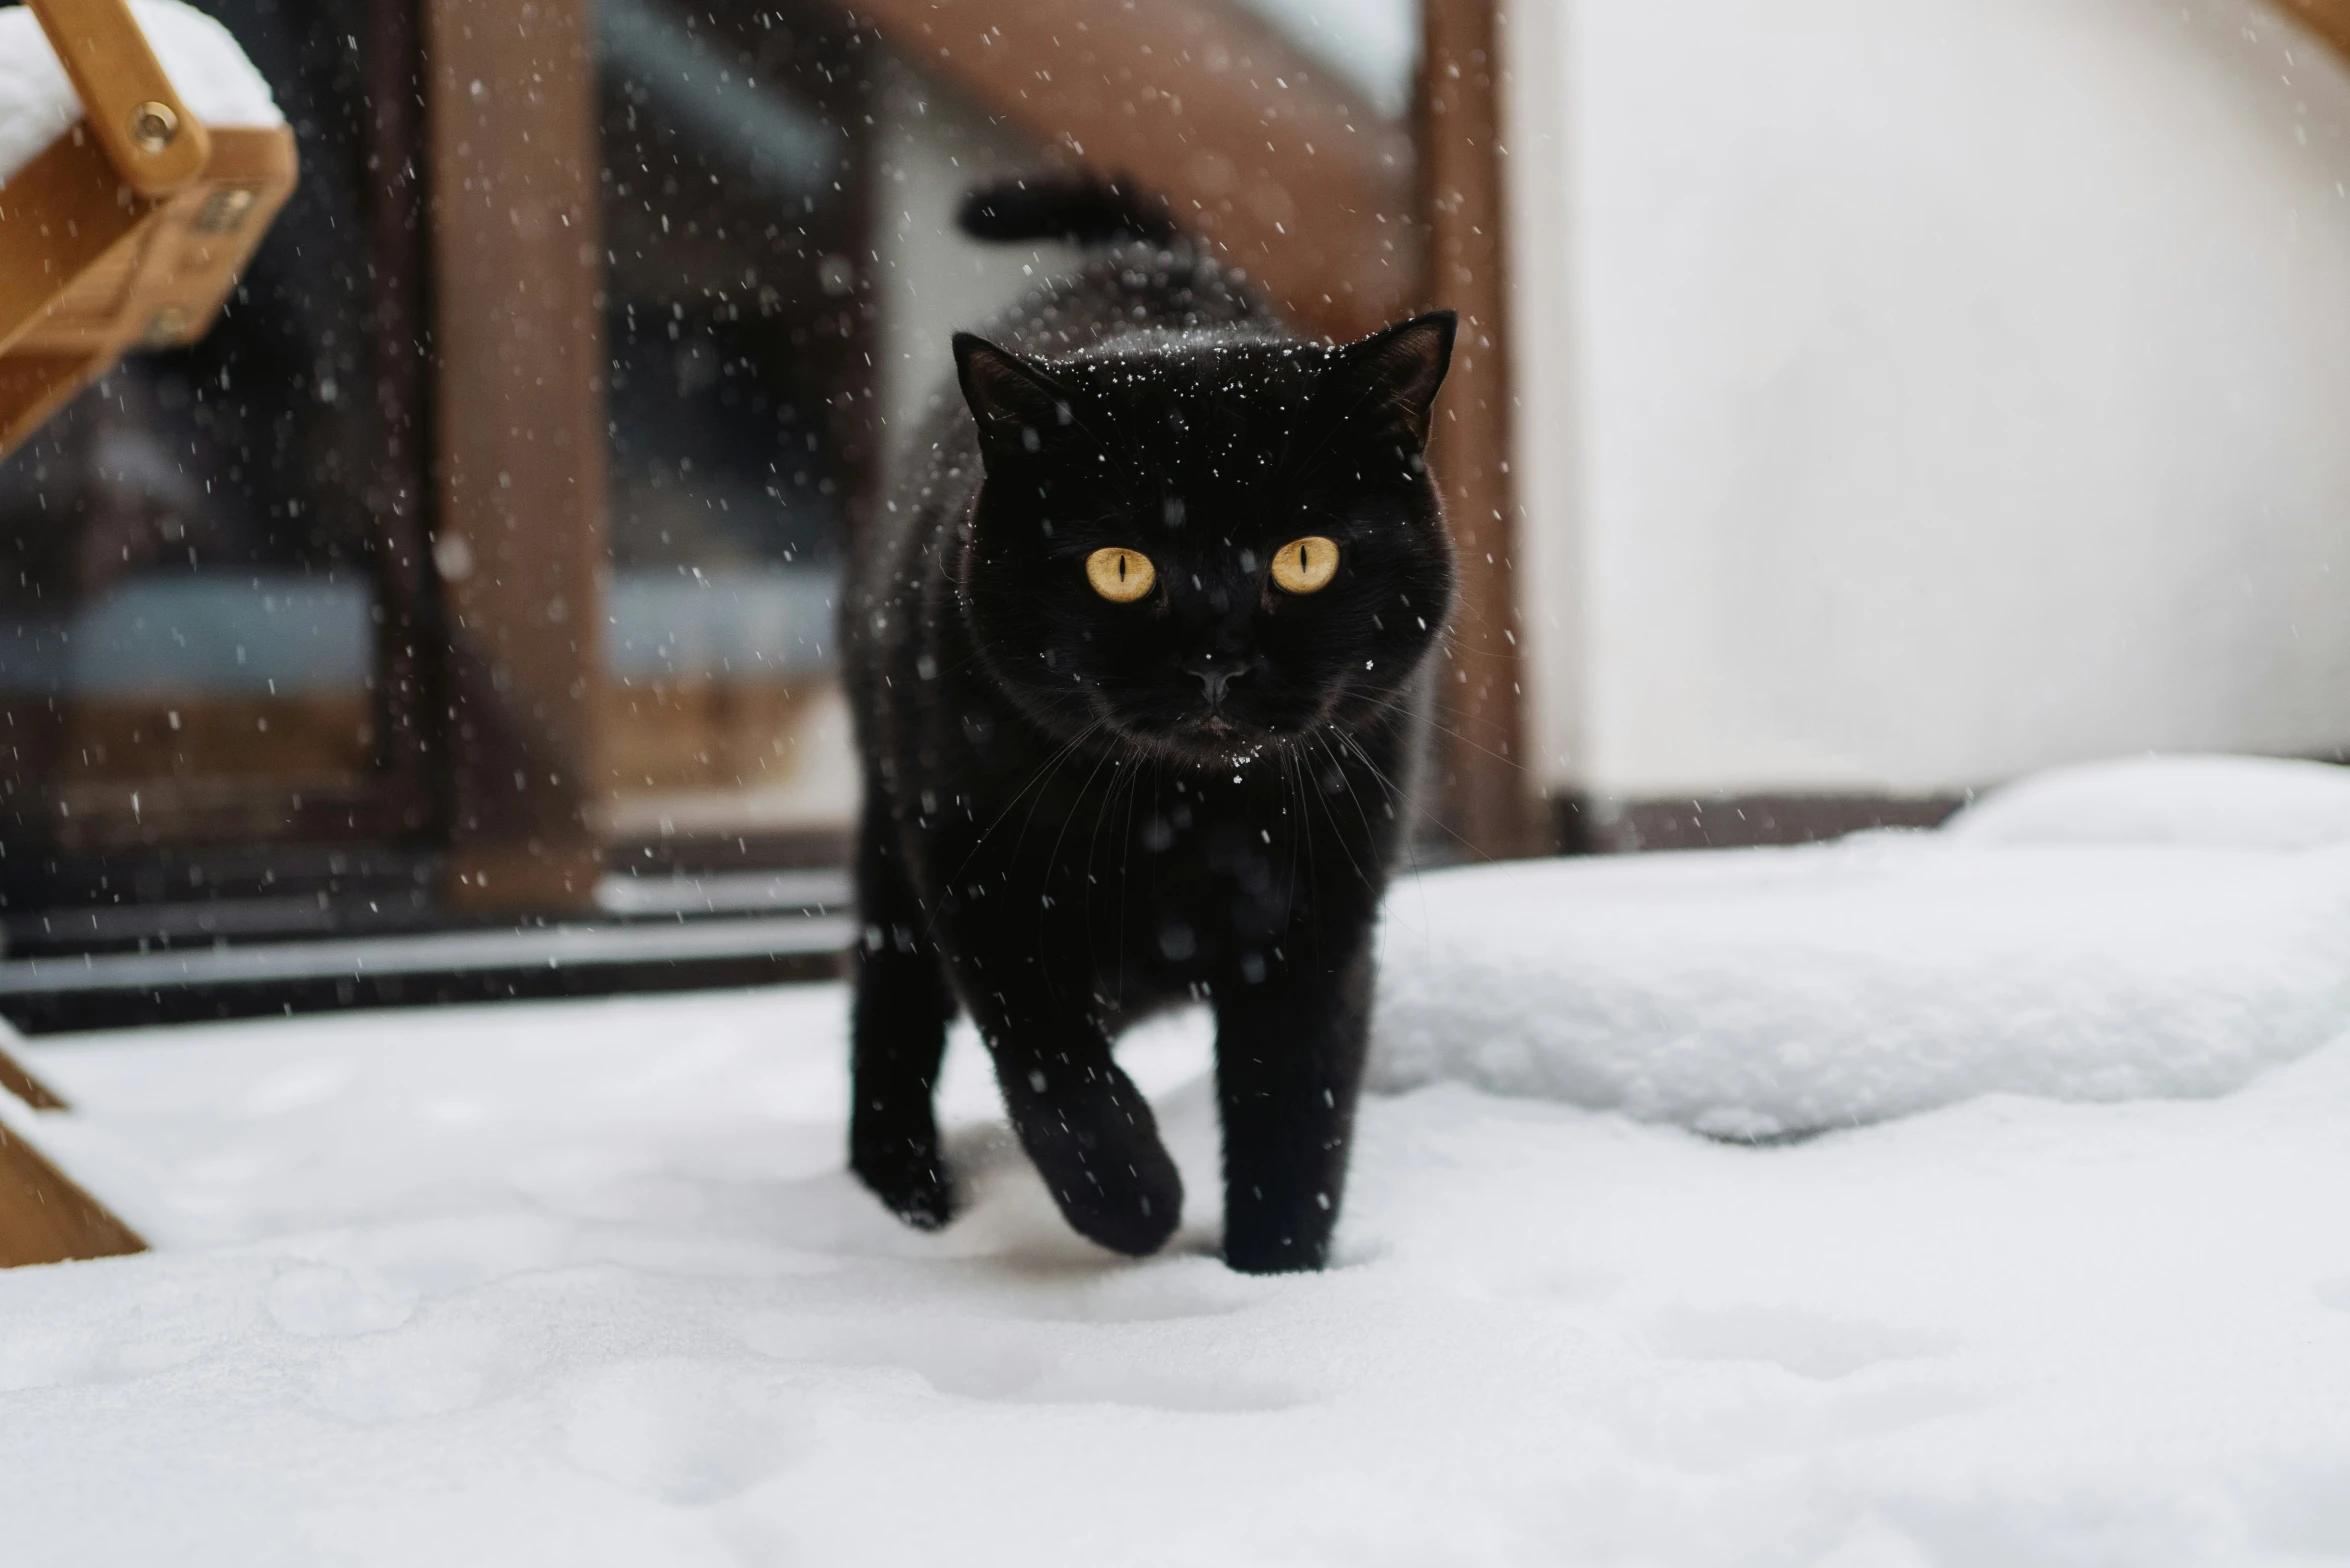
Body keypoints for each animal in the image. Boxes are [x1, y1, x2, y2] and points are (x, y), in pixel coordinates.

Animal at [836, 175, 1457, 1278]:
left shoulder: (1322, 924)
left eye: (1304, 557)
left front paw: (1276, 1280)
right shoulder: (980, 885)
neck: (1188, 820)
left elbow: (1294, 1118)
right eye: (1120, 566)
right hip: (892, 845)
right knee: (892, 1012)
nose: (1217, 657)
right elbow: (1058, 1076)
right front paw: (1135, 1207)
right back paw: (903, 1195)